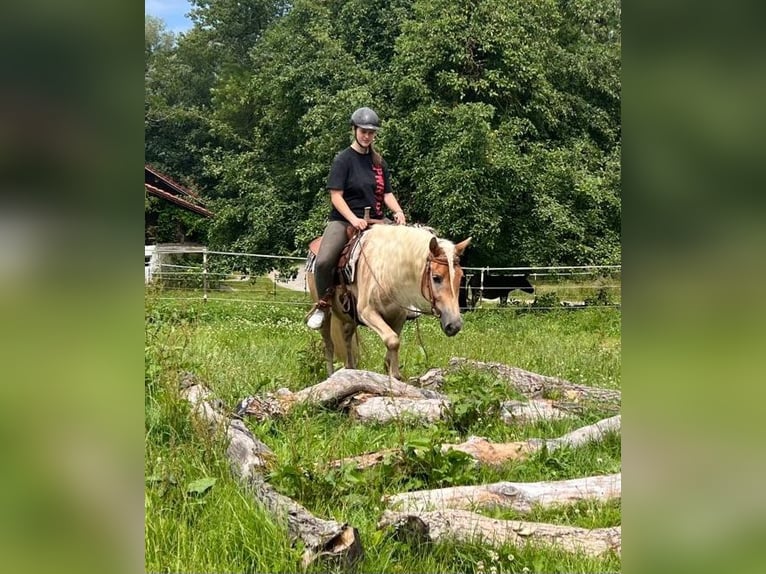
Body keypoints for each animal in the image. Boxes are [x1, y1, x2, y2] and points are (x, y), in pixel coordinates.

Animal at [308, 226, 472, 382]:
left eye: (461, 277)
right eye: (436, 277)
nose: (454, 325)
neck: (386, 269)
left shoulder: (398, 316)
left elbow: (393, 345)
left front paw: (392, 374)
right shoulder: (367, 312)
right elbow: (392, 340)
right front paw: (395, 376)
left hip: (349, 317)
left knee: (347, 336)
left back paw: (351, 369)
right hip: (327, 314)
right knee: (328, 345)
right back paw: (330, 375)